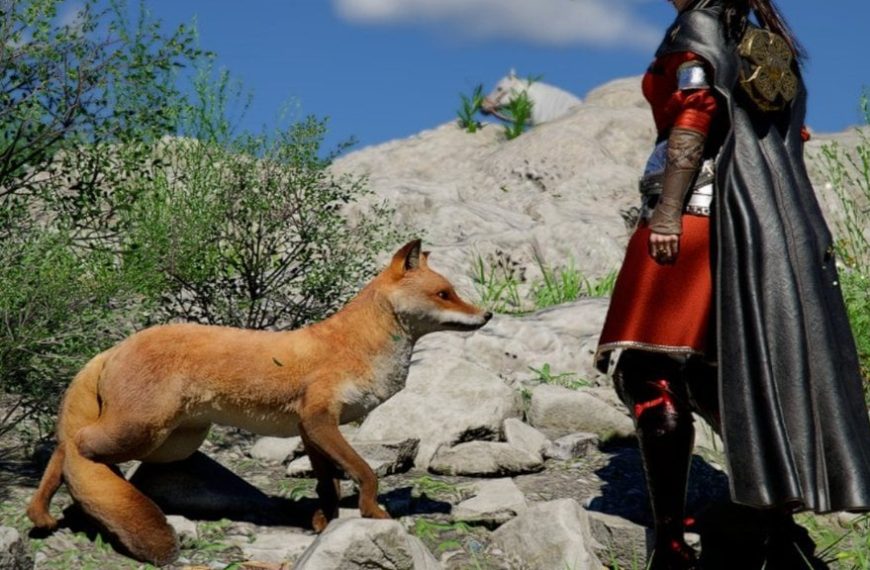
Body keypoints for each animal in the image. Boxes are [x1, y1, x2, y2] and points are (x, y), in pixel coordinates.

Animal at [26, 239, 492, 566]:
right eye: (445, 294)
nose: (487, 315)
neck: (356, 347)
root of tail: (115, 346)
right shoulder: (320, 420)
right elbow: (364, 473)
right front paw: (372, 513)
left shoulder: (310, 429)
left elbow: (328, 484)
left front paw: (322, 524)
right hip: (139, 432)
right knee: (72, 446)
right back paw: (59, 510)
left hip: (174, 443)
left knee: (72, 448)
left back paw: (53, 513)